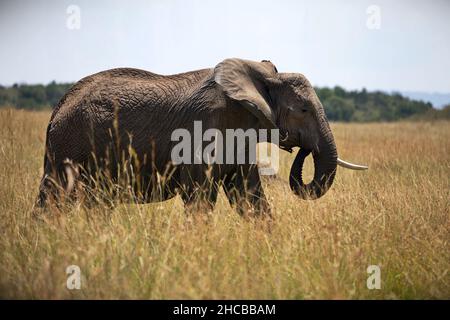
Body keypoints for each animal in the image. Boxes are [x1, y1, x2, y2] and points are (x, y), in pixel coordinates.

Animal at [37, 58, 368, 216]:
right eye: (303, 109)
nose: (301, 148)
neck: (262, 78)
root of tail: (57, 108)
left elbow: (251, 199)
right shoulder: (205, 130)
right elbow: (199, 199)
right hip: (71, 144)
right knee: (56, 197)